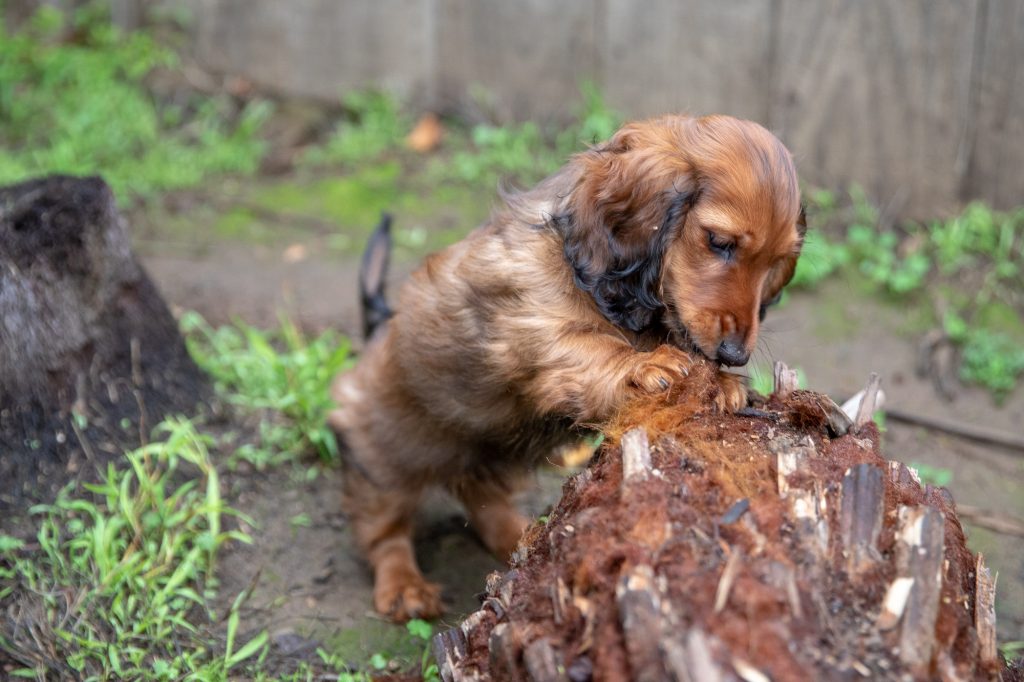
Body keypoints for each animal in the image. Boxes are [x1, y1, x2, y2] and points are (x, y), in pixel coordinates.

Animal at [327, 114, 806, 618]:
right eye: (719, 242)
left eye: (777, 263)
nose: (735, 355)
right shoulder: (534, 327)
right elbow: (589, 350)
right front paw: (647, 366)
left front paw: (723, 383)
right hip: (386, 455)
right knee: (383, 530)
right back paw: (405, 585)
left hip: (492, 452)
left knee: (481, 499)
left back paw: (521, 536)